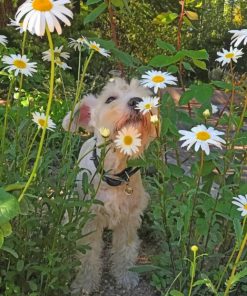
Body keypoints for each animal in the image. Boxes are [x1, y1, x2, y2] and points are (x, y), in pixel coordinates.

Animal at [62, 77, 157, 294]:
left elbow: (125, 250)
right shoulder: (89, 221)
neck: (115, 175)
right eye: (110, 98)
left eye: (145, 95)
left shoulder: (129, 219)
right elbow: (87, 256)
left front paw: (126, 276)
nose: (137, 101)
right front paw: (84, 284)